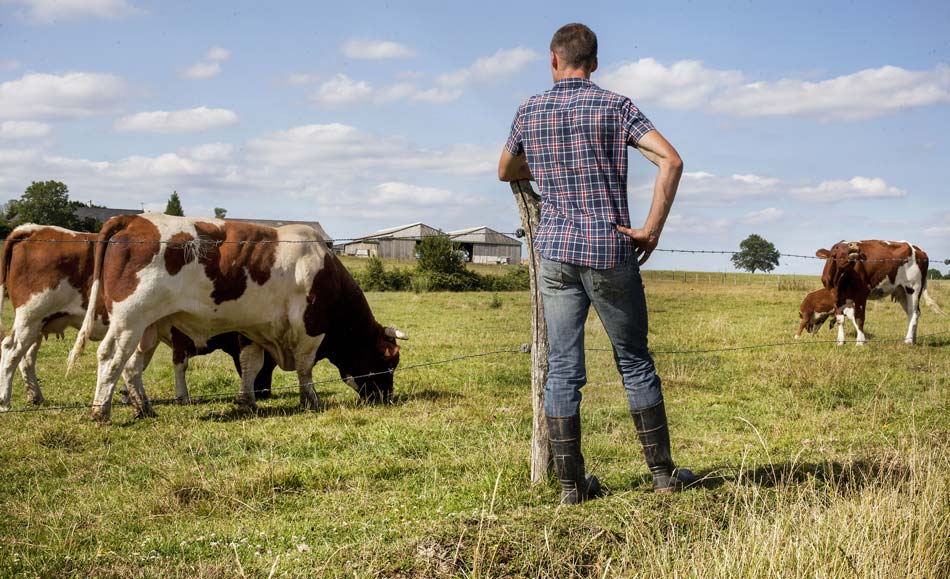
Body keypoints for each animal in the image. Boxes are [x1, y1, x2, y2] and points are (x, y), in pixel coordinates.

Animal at [0, 223, 276, 412]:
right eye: (272, 362)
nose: (265, 392)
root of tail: (33, 229)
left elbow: (136, 363)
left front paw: (126, 395)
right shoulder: (181, 335)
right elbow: (183, 364)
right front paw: (183, 396)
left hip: (40, 323)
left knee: (26, 357)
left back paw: (35, 396)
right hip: (31, 316)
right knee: (11, 351)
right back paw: (5, 401)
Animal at [68, 213, 406, 422]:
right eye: (389, 361)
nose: (386, 397)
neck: (325, 271)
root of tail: (134, 219)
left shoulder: (254, 328)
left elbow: (251, 365)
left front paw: (247, 400)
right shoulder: (311, 328)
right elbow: (304, 367)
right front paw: (311, 400)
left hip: (147, 327)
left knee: (132, 366)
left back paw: (144, 408)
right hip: (129, 320)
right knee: (110, 358)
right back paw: (101, 411)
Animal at [816, 240, 948, 344]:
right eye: (837, 247)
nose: (853, 245)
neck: (838, 281)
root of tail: (919, 250)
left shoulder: (861, 294)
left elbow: (859, 318)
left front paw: (860, 342)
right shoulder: (835, 298)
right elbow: (840, 319)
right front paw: (840, 341)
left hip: (913, 288)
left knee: (914, 313)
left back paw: (908, 340)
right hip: (901, 292)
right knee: (913, 314)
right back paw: (913, 339)